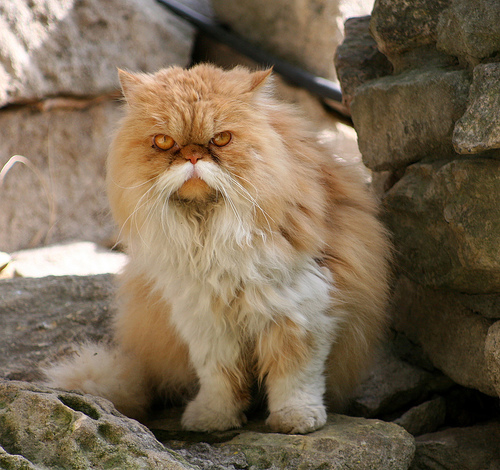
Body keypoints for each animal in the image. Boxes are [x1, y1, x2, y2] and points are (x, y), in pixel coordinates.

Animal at [45, 64, 392, 436]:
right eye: (164, 142)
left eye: (221, 139)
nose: (193, 156)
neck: (208, 232)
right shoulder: (205, 321)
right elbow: (220, 378)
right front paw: (214, 419)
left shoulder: (300, 309)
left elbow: (295, 377)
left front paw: (296, 420)